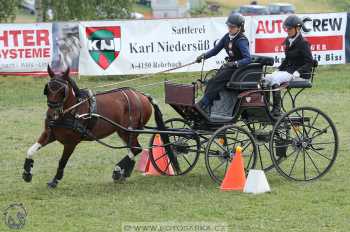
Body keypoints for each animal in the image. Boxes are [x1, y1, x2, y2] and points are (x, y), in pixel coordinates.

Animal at [21, 65, 153, 188]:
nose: (51, 115)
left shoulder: (70, 143)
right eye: (47, 90)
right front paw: (27, 172)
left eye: (62, 91)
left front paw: (55, 180)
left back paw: (117, 170)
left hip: (127, 131)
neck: (72, 111)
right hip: (124, 132)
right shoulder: (50, 134)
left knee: (136, 149)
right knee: (132, 149)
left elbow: (62, 162)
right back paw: (123, 173)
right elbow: (30, 150)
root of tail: (142, 96)